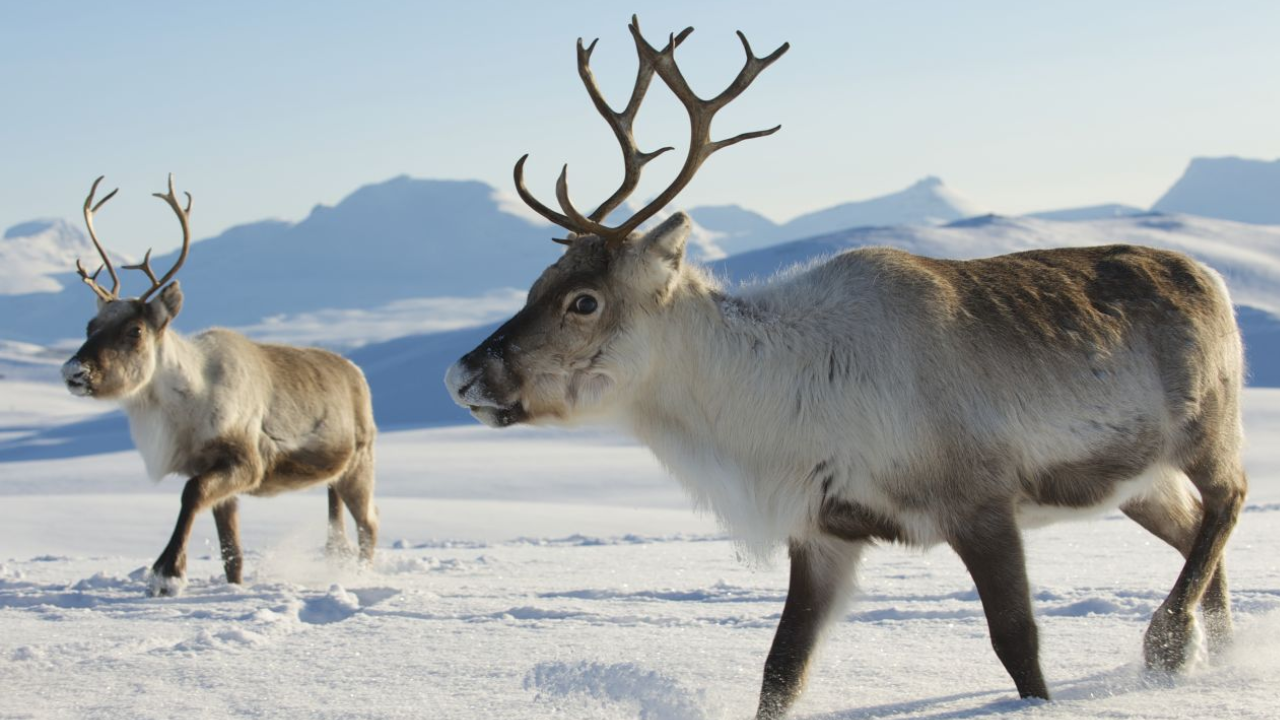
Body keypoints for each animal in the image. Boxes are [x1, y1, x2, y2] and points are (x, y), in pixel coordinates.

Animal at [60, 175, 378, 597]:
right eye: (89, 326)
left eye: (135, 330)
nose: (74, 371)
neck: (186, 404)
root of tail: (357, 373)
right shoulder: (213, 471)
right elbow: (232, 552)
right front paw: (230, 585)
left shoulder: (245, 462)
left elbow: (190, 494)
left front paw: (167, 573)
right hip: (336, 476)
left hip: (360, 463)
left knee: (370, 525)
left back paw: (359, 577)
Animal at [444, 17, 1247, 719]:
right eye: (535, 284)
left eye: (583, 301)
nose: (461, 375)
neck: (774, 403)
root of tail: (1210, 275)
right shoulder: (824, 530)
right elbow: (781, 669)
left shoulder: (979, 501)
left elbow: (1018, 644)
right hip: (1135, 480)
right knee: (1194, 532)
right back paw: (1218, 654)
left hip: (1207, 427)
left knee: (1228, 500)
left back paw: (1170, 645)